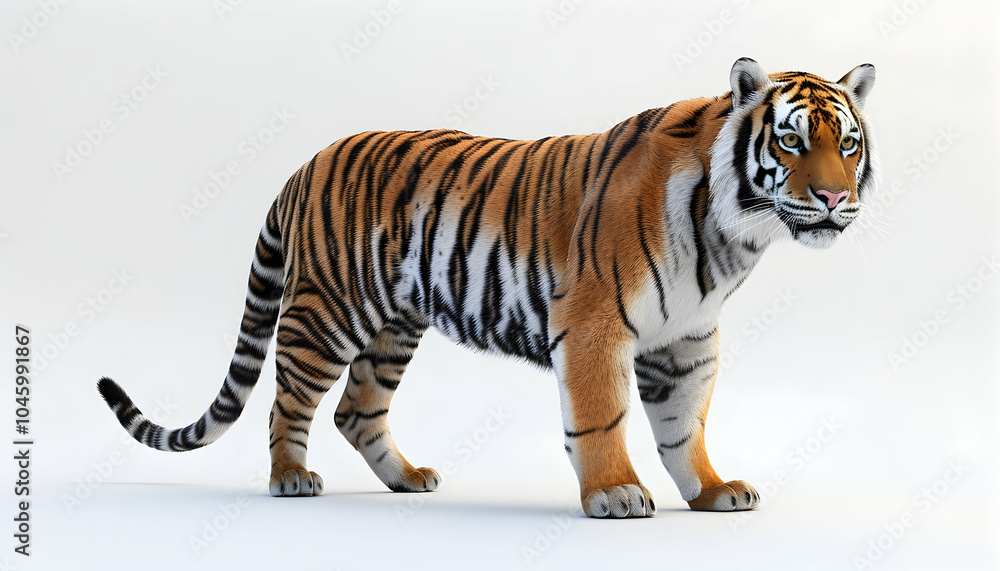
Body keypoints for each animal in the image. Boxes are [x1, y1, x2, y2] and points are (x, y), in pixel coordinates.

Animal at [98, 58, 877, 518]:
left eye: (848, 143)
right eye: (790, 140)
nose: (835, 198)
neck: (731, 236)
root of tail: (305, 162)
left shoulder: (686, 340)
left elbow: (686, 426)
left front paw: (713, 491)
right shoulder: (595, 324)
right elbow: (602, 418)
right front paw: (616, 493)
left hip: (394, 327)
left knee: (356, 410)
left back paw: (408, 479)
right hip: (328, 312)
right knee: (288, 399)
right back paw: (291, 477)